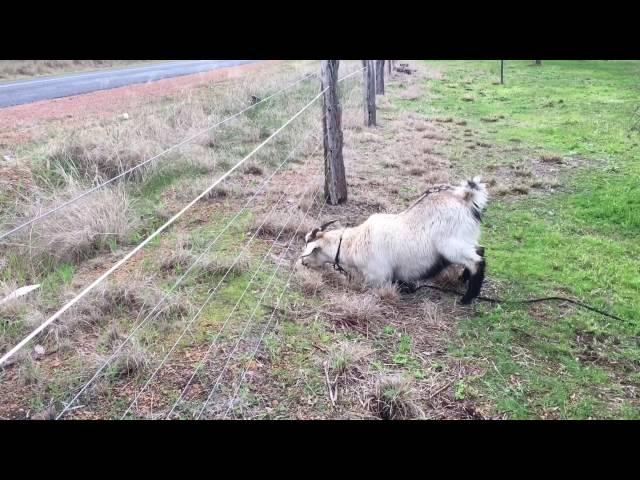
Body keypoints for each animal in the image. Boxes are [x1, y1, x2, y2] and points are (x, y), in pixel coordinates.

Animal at [300, 176, 490, 304]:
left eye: (309, 248)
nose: (303, 263)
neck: (354, 243)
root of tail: (465, 197)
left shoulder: (378, 276)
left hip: (451, 246)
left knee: (477, 261)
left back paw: (467, 298)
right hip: (465, 240)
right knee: (480, 249)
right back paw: (463, 280)